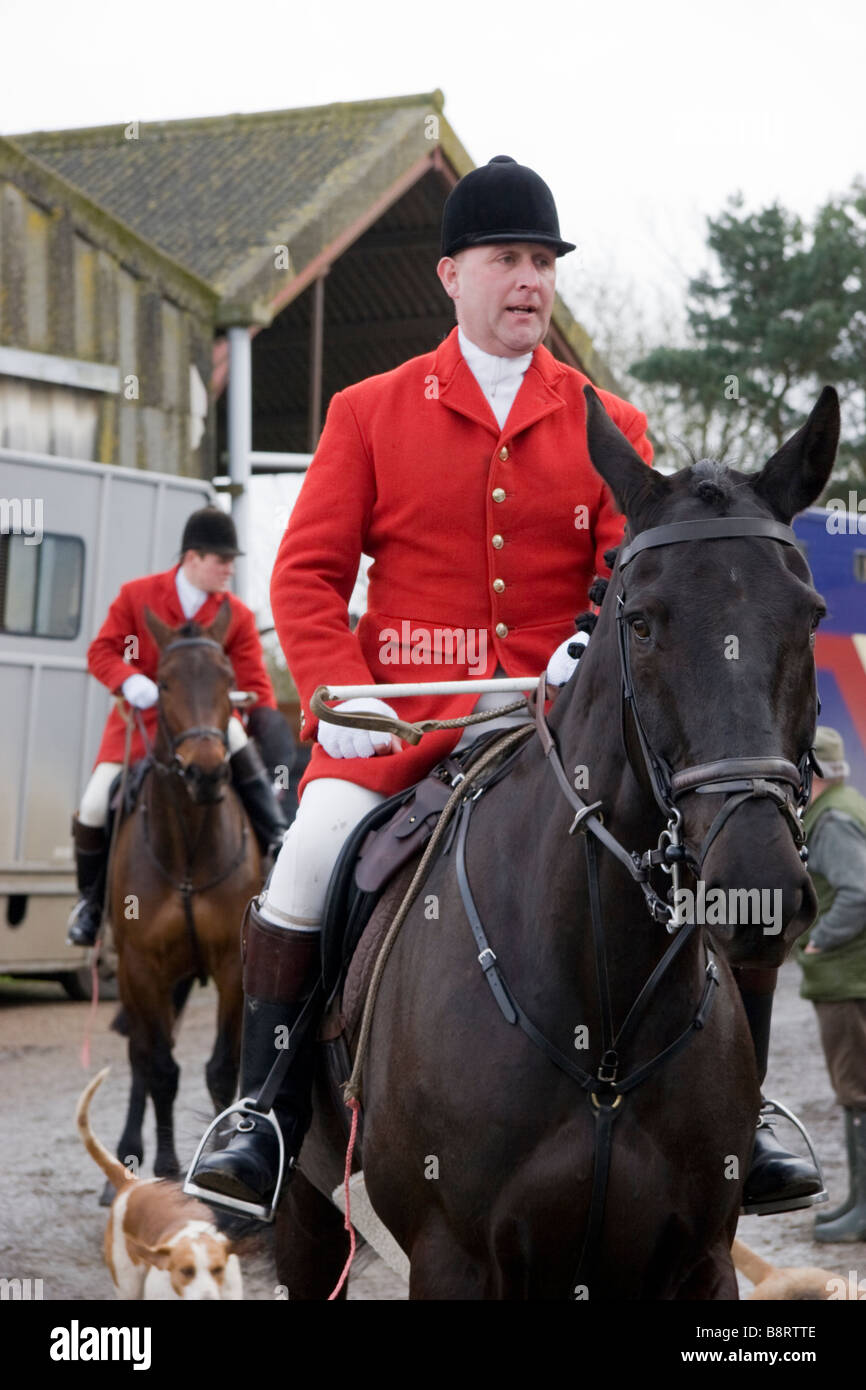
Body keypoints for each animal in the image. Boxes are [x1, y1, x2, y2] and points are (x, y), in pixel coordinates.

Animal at [104, 603, 262, 1200]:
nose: (206, 771)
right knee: (142, 1059)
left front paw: (222, 1161)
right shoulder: (141, 966)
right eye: (165, 682)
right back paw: (126, 1163)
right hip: (140, 979)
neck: (190, 850)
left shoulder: (233, 967)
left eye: (228, 679)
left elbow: (220, 1069)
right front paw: (170, 1168)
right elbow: (161, 1071)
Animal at [273, 386, 839, 1295]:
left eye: (812, 617)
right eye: (640, 623)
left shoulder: (698, 1260)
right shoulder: (454, 1259)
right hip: (308, 1217)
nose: (755, 883)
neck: (602, 1019)